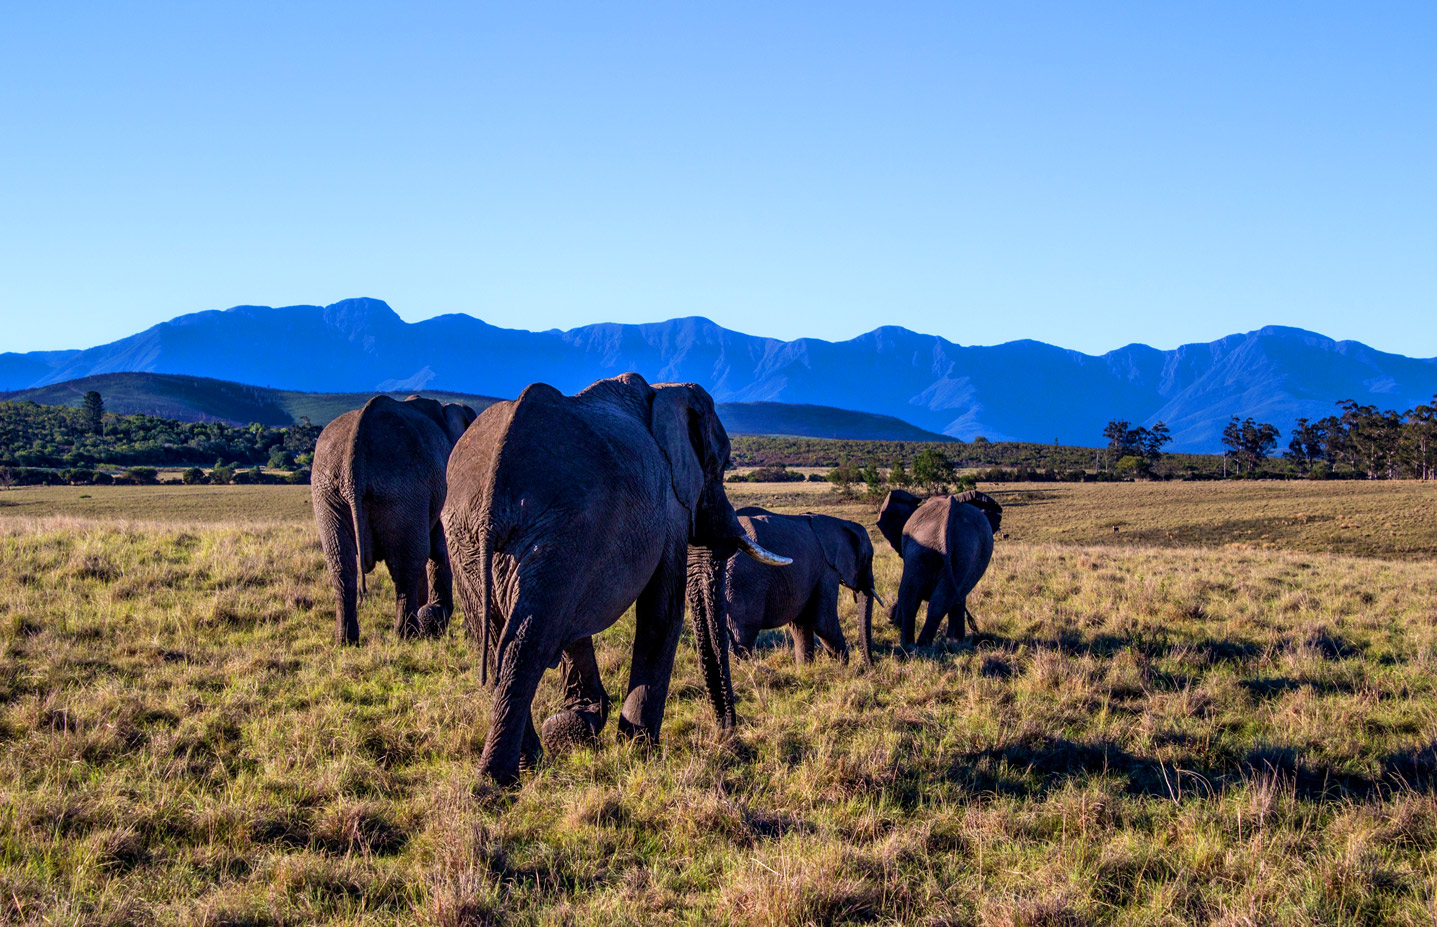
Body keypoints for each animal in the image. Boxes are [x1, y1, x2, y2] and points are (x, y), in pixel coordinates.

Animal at [311, 395, 477, 644]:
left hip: (328, 492)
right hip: (403, 488)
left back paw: (346, 641)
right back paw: (407, 635)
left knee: (340, 562)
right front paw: (435, 620)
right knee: (406, 564)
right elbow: (440, 549)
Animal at [442, 373, 790, 786]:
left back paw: (529, 765)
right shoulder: (667, 506)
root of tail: (494, 494)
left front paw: (578, 726)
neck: (664, 390)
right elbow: (662, 612)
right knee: (527, 642)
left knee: (501, 640)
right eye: (720, 468)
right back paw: (496, 784)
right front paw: (638, 750)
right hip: (557, 529)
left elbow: (577, 623)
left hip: (468, 540)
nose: (729, 735)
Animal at [724, 507, 881, 666]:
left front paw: (805, 668)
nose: (871, 666)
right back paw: (745, 669)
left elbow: (801, 624)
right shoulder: (826, 571)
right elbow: (824, 624)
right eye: (868, 559)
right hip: (743, 584)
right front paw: (843, 668)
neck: (840, 523)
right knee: (742, 637)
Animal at [877, 488, 1003, 647]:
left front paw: (955, 642)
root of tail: (949, 517)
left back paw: (915, 645)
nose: (890, 617)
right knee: (930, 599)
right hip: (953, 550)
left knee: (919, 597)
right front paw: (955, 642)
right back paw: (919, 645)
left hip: (949, 551)